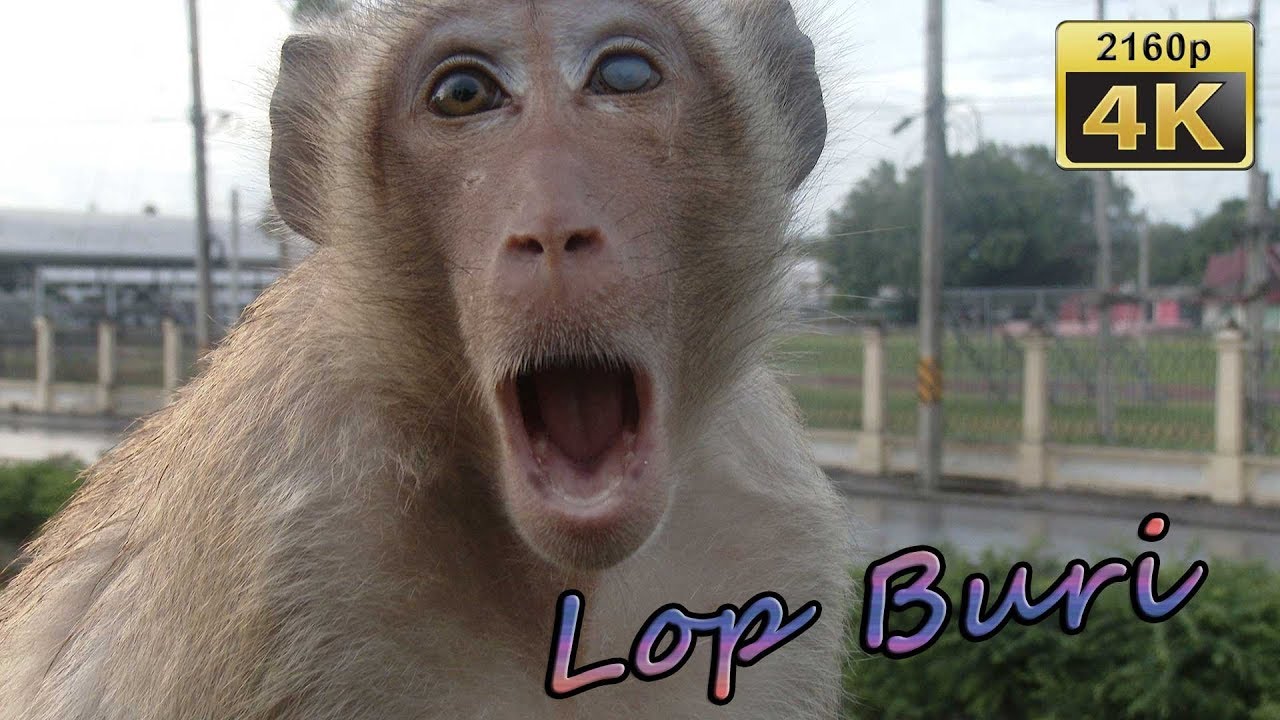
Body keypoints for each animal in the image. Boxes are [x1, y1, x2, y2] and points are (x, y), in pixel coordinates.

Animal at [0, 0, 853, 718]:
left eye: (624, 76)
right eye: (464, 94)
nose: (551, 228)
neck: (566, 581)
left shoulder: (772, 527)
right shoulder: (285, 541)